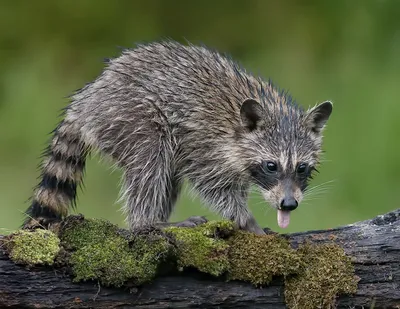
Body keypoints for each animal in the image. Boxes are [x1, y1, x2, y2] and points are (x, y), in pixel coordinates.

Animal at [23, 40, 332, 233]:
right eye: (271, 166)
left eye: (302, 168)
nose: (288, 204)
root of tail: (86, 100)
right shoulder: (205, 143)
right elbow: (211, 184)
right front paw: (244, 219)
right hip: (130, 115)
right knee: (150, 159)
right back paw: (148, 222)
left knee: (167, 173)